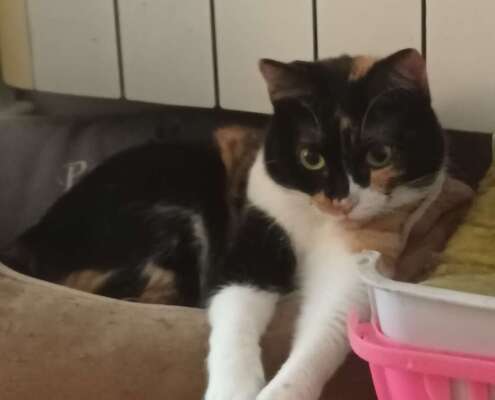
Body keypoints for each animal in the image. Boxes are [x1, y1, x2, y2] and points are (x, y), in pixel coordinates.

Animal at [2, 48, 446, 400]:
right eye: (311, 158)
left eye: (379, 155)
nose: (341, 200)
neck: (318, 225)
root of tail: (34, 237)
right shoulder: (253, 240)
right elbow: (234, 313)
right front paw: (234, 390)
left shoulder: (359, 266)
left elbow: (326, 330)